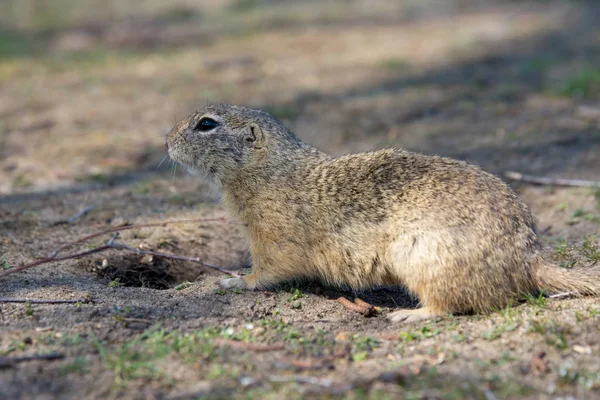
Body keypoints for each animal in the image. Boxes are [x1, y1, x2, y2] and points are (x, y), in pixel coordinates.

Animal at [166, 104, 600, 324]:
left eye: (206, 124)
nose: (165, 140)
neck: (270, 169)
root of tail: (531, 260)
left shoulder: (273, 237)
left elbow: (267, 272)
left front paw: (233, 281)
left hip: (424, 260)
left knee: (452, 305)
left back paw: (409, 316)